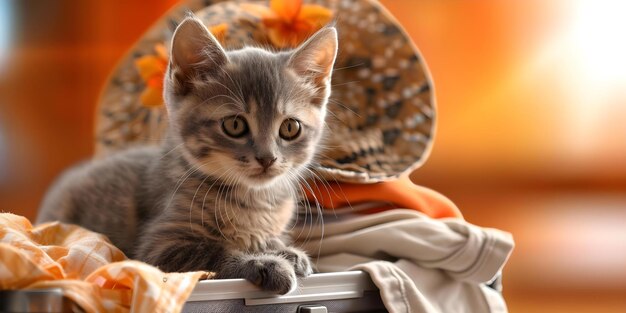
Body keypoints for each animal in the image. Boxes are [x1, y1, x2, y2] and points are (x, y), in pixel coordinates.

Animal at [36, 17, 336, 294]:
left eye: (290, 128)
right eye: (234, 125)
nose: (267, 158)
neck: (253, 200)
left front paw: (286, 251)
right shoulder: (158, 249)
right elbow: (215, 252)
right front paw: (266, 263)